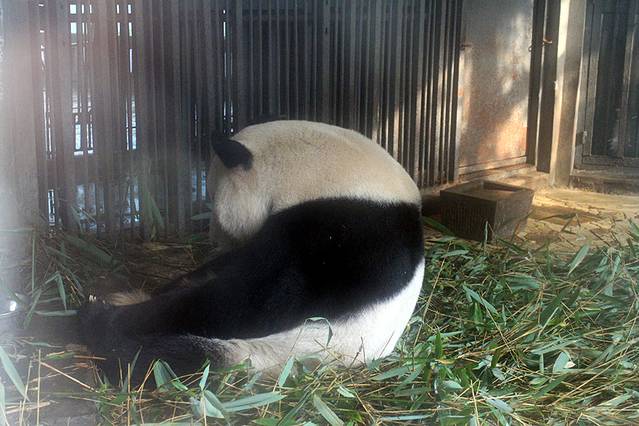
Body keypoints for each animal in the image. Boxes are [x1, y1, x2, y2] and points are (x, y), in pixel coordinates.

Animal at [79, 120, 425, 383]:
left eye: (212, 197)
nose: (213, 236)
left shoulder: (348, 233)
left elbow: (254, 299)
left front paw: (112, 316)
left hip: (282, 351)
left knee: (163, 360)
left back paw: (103, 328)